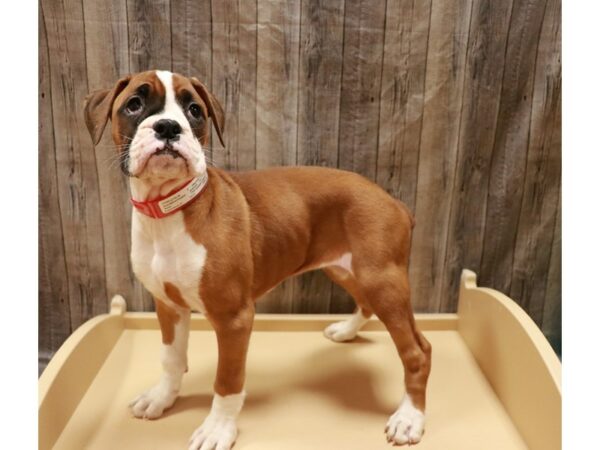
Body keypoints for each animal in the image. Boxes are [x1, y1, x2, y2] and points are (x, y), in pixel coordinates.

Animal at [83, 70, 432, 450]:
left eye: (194, 110)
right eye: (134, 104)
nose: (167, 127)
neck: (169, 209)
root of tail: (393, 201)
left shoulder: (234, 319)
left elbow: (228, 381)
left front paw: (218, 428)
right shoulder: (169, 307)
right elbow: (171, 359)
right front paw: (162, 398)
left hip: (382, 281)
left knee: (418, 350)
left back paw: (409, 418)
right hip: (347, 269)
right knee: (365, 303)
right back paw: (346, 330)